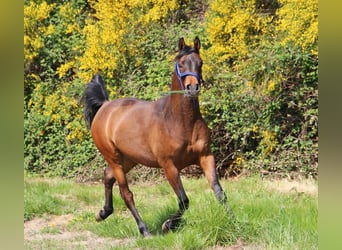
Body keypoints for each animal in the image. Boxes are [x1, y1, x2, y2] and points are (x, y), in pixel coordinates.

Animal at [83, 36, 232, 236]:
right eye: (181, 64)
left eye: (200, 63)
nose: (192, 88)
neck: (181, 122)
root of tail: (105, 106)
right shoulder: (169, 165)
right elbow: (184, 200)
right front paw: (168, 225)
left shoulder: (205, 157)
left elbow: (219, 192)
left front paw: (233, 221)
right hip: (113, 157)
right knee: (126, 193)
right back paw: (144, 230)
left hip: (129, 158)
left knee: (107, 176)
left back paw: (102, 213)